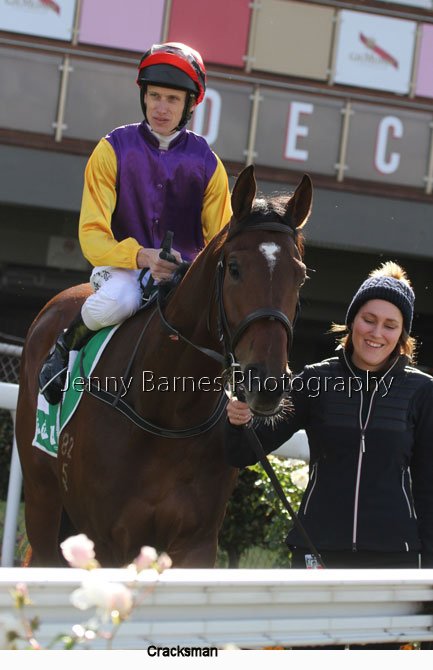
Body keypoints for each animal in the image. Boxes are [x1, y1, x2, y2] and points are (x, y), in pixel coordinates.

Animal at [15, 165, 312, 568]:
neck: (169, 413)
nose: (266, 382)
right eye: (235, 269)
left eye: (300, 276)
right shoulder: (108, 541)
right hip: (42, 500)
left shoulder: (197, 543)